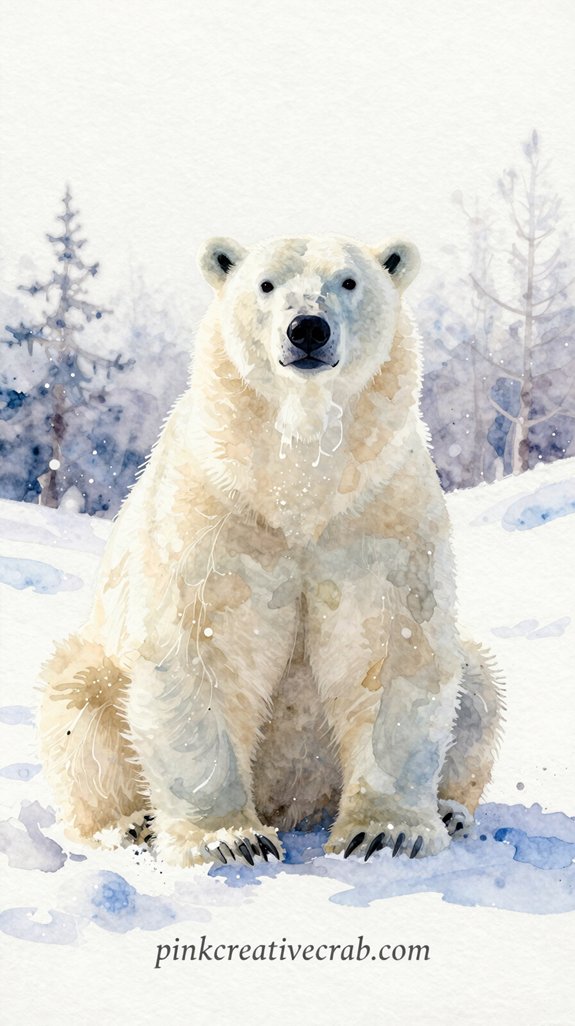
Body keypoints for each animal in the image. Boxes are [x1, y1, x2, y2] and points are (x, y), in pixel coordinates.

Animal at [39, 233, 504, 867]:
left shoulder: (379, 510)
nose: (307, 328)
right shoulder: (214, 514)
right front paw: (230, 841)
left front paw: (385, 834)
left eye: (348, 281)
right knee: (79, 709)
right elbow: (199, 648)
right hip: (95, 672)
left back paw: (453, 810)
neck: (298, 481)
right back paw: (131, 825)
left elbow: (392, 647)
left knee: (477, 684)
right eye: (265, 284)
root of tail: (294, 805)